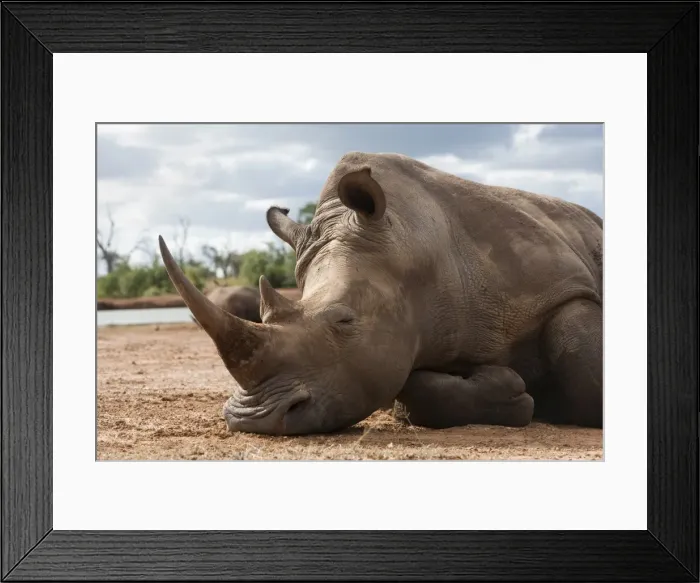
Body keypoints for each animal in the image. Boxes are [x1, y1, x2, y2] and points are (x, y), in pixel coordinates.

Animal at [159, 151, 603, 436]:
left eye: (344, 320)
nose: (254, 420)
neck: (412, 246)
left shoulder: (562, 287)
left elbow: (587, 371)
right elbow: (411, 389)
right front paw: (513, 391)